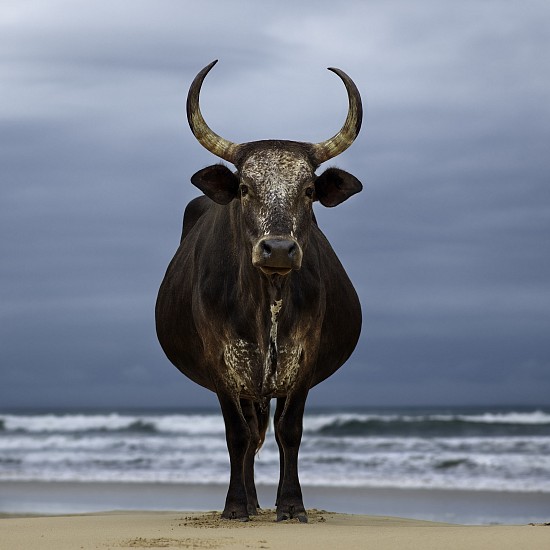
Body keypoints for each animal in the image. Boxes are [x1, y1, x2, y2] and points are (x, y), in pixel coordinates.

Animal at [155, 62, 364, 524]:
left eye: (308, 191)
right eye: (246, 188)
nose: (280, 249)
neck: (266, 301)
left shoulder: (302, 362)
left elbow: (290, 432)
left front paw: (291, 505)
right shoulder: (222, 365)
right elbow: (238, 435)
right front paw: (235, 506)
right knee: (250, 435)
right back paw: (249, 500)